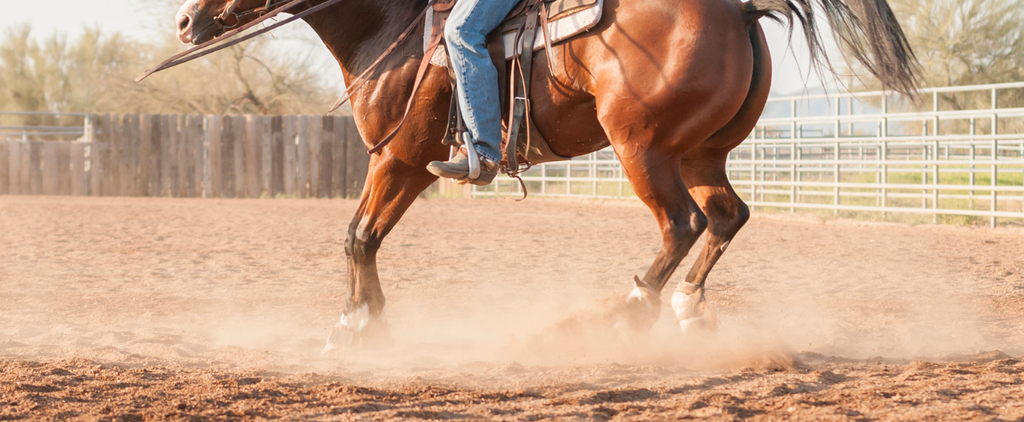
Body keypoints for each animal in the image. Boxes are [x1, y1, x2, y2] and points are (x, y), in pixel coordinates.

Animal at [174, 0, 921, 348]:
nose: (183, 21)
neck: (394, 26)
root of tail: (738, 11)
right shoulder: (406, 164)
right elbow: (364, 236)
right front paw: (361, 319)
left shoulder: (399, 157)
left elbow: (358, 236)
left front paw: (357, 324)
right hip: (700, 151)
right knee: (727, 217)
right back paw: (686, 308)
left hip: (642, 148)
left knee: (681, 224)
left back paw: (629, 311)